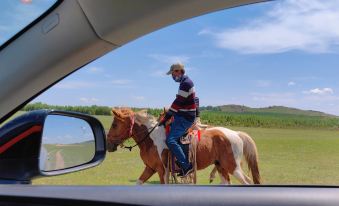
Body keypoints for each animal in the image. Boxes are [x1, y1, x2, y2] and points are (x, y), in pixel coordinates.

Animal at [107, 108, 262, 185]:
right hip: (221, 166)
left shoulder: (162, 171)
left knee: (247, 182)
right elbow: (138, 183)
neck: (151, 139)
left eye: (114, 124)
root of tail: (236, 133)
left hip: (232, 166)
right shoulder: (150, 168)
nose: (108, 143)